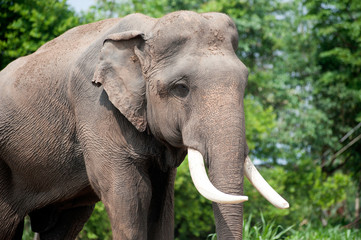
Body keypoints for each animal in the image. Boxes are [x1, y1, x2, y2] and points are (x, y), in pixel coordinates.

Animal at [0, 10, 286, 239]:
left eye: (244, 84)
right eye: (181, 88)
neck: (146, 32)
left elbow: (161, 200)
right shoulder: (96, 105)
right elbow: (131, 193)